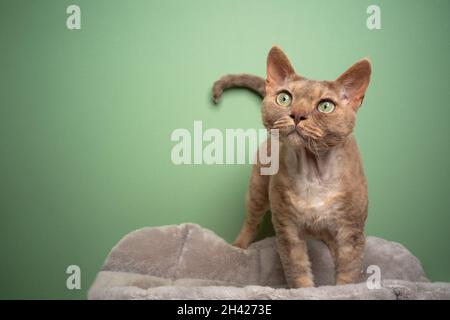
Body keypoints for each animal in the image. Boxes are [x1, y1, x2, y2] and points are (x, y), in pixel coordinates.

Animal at [213, 45, 370, 288]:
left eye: (326, 106)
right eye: (285, 98)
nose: (297, 114)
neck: (313, 172)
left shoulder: (351, 231)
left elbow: (348, 273)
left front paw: (343, 289)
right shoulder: (288, 229)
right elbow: (297, 270)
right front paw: (305, 289)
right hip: (257, 188)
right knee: (251, 221)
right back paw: (238, 246)